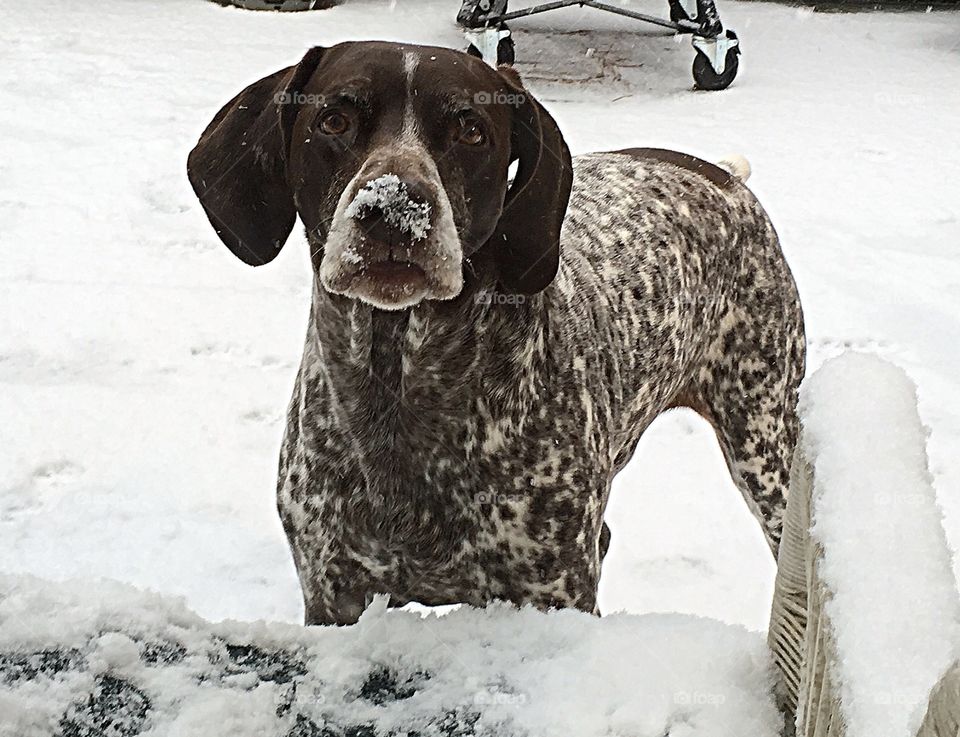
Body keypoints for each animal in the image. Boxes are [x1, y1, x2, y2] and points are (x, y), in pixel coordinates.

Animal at [186, 41, 804, 628]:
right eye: (334, 120)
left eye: (471, 130)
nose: (394, 209)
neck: (401, 384)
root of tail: (726, 177)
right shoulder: (332, 594)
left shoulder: (554, 591)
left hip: (765, 443)